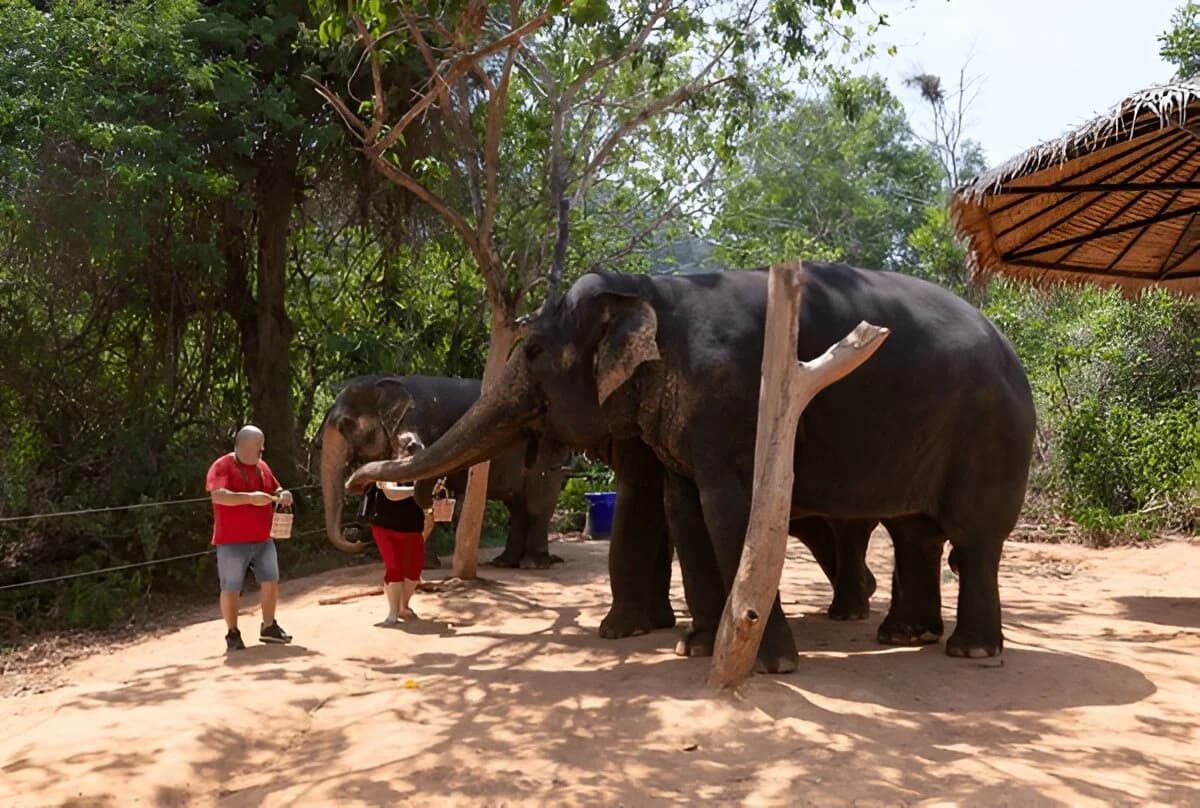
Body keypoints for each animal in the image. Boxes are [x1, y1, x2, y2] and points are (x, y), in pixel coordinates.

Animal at [320, 374, 570, 569]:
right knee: (517, 507)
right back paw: (505, 562)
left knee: (537, 504)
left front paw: (425, 565)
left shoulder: (418, 424)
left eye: (344, 425)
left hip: (548, 450)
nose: (356, 538)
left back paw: (533, 564)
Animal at [346, 262, 1036, 671]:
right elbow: (684, 508)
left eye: (536, 351)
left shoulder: (736, 408)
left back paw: (970, 649)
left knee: (974, 538)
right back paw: (904, 638)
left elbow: (730, 513)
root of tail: (1010, 344)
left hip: (993, 435)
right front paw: (693, 645)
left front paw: (769, 665)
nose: (360, 481)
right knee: (916, 531)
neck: (654, 290)